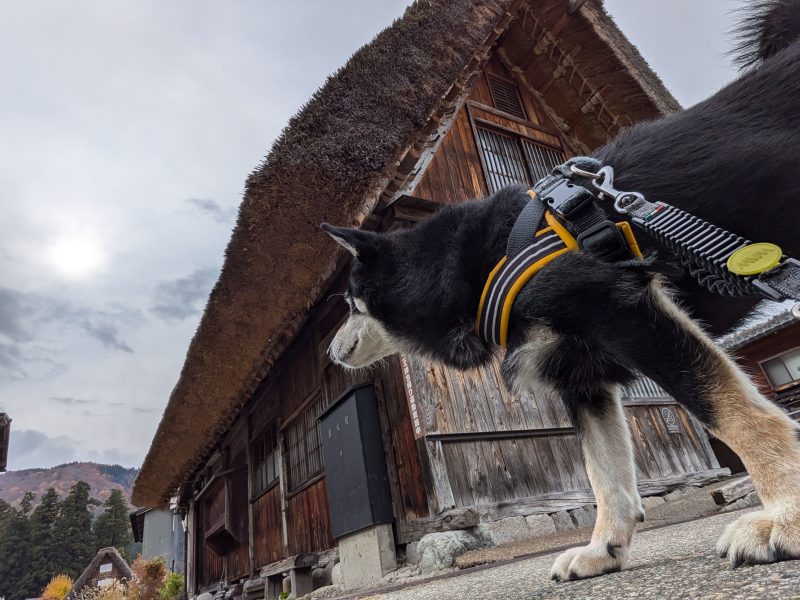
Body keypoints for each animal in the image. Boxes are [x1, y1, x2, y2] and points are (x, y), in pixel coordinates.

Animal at [322, 0, 796, 580]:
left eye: (350, 305)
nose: (328, 352)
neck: (483, 261)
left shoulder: (624, 310)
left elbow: (735, 415)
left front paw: (785, 518)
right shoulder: (581, 376)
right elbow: (605, 474)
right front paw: (603, 549)